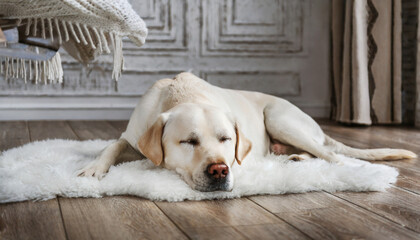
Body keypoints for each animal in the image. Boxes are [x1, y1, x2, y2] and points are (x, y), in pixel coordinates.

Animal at [78, 72, 416, 192]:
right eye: (189, 141)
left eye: (226, 139)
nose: (219, 170)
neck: (182, 94)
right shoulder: (132, 136)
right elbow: (111, 145)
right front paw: (94, 168)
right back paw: (297, 159)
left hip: (279, 117)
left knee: (332, 154)